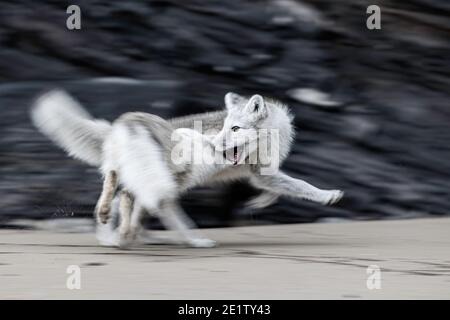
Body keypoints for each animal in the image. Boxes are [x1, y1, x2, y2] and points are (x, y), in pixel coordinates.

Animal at [29, 89, 342, 248]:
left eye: (235, 128)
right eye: (226, 128)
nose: (217, 144)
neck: (271, 136)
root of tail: (128, 120)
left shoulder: (262, 174)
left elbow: (280, 190)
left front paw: (259, 203)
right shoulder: (262, 174)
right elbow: (302, 186)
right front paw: (328, 195)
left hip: (142, 175)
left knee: (120, 192)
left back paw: (118, 233)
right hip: (179, 176)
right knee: (144, 203)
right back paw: (179, 238)